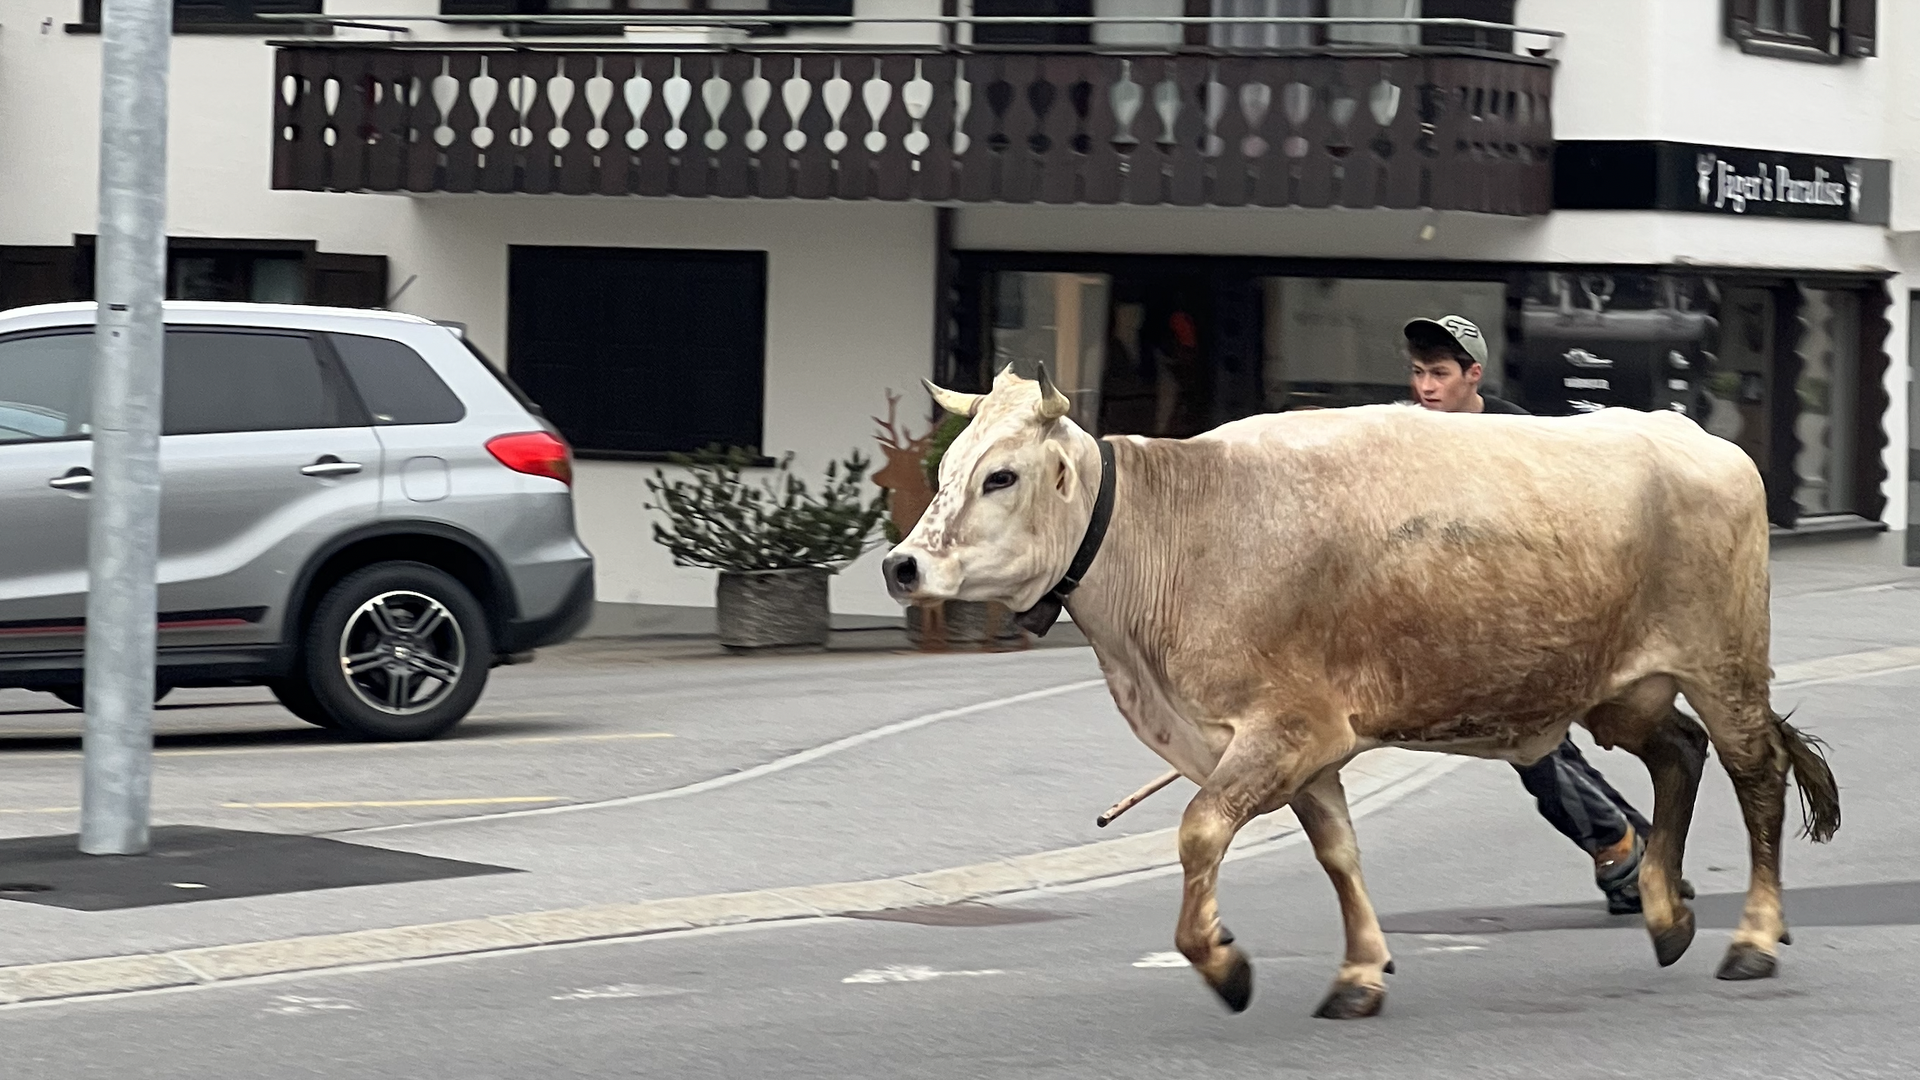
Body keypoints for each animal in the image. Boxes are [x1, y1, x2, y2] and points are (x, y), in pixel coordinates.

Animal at [879, 365, 1835, 1014]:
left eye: (1001, 475)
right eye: (947, 470)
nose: (900, 565)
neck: (1180, 531)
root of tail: (1697, 435)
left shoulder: (1285, 728)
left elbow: (1198, 833)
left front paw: (1225, 963)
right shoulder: (1311, 745)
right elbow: (1338, 851)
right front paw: (1360, 970)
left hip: (1724, 665)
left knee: (1755, 775)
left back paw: (1751, 937)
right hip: (1620, 688)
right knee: (1679, 753)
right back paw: (1667, 916)